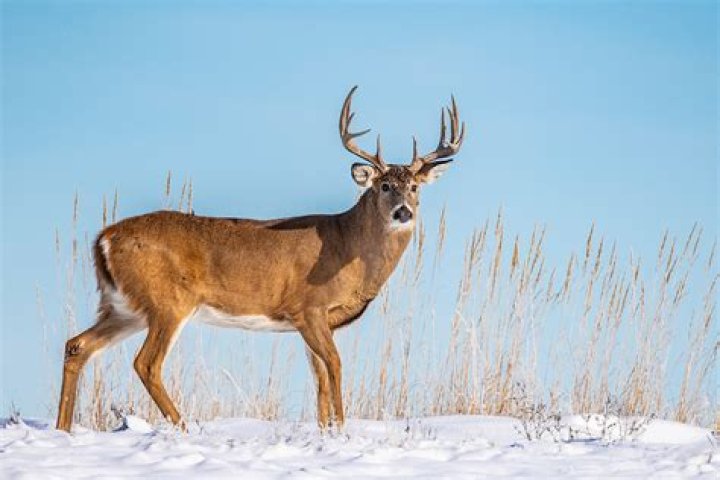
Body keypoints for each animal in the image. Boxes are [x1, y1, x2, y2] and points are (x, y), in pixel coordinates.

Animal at [56, 86, 465, 432]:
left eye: (414, 187)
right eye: (384, 186)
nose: (403, 212)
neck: (347, 245)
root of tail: (103, 239)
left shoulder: (316, 322)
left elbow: (318, 376)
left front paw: (325, 432)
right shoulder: (309, 307)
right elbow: (334, 366)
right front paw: (343, 430)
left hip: (122, 306)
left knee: (77, 346)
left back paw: (64, 430)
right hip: (167, 302)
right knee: (146, 363)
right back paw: (185, 429)